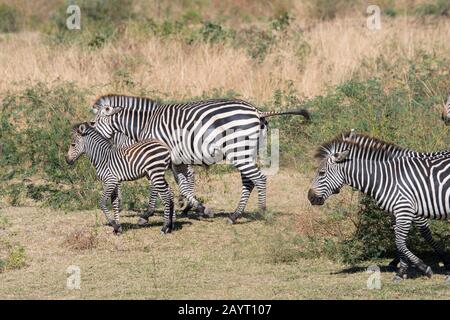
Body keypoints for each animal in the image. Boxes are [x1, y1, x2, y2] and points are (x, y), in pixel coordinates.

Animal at [91, 95, 310, 222]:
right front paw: (195, 207)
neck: (146, 124)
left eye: (92, 123)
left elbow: (158, 186)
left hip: (238, 151)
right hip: (244, 152)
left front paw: (148, 214)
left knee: (259, 179)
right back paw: (235, 215)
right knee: (249, 181)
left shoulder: (158, 160)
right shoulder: (177, 160)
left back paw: (262, 212)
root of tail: (257, 111)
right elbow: (184, 184)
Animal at [308, 131, 450, 282]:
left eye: (321, 173)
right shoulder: (400, 211)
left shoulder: (409, 210)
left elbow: (414, 237)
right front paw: (402, 268)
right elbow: (399, 239)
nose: (310, 197)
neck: (385, 176)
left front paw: (430, 265)